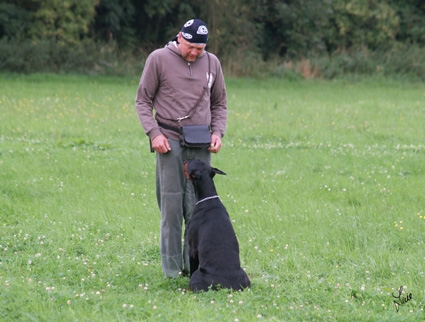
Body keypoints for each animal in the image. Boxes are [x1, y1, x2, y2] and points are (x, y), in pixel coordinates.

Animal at [181, 158, 248, 292]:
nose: (185, 160)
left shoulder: (193, 249)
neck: (208, 198)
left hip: (198, 275)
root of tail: (227, 286)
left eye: (191, 161)